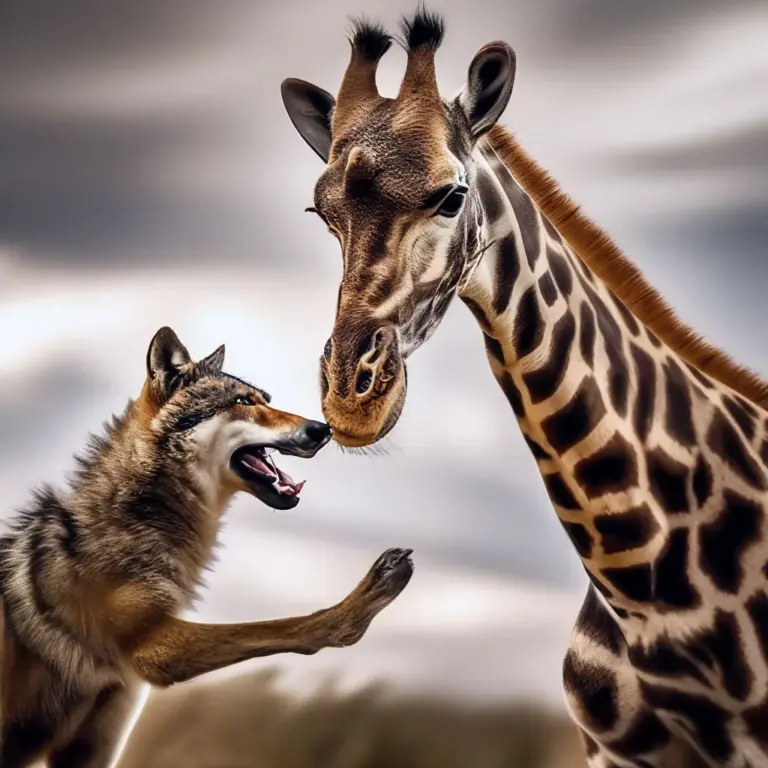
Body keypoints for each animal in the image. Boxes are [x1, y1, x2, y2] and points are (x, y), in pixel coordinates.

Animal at [0, 326, 414, 768]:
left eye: (265, 398)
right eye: (243, 402)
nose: (324, 429)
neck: (145, 517)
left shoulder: (101, 736)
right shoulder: (152, 649)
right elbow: (275, 627)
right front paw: (360, 608)